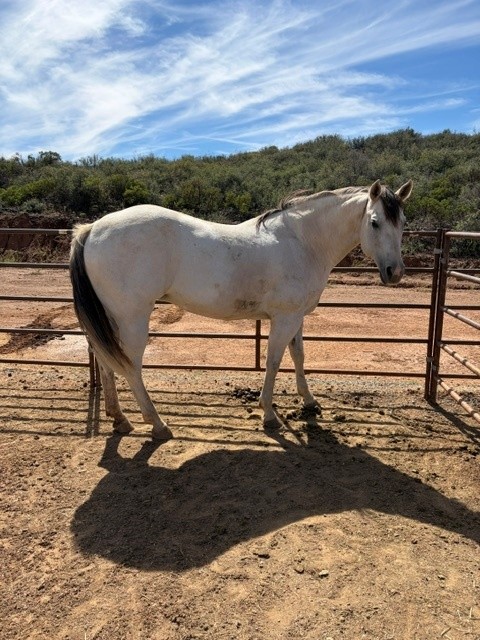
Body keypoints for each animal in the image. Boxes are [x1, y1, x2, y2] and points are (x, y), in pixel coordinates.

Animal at [69, 179, 413, 440]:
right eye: (374, 222)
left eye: (402, 224)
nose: (395, 273)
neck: (302, 242)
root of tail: (92, 229)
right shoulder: (284, 318)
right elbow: (274, 361)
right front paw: (269, 414)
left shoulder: (296, 317)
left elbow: (299, 356)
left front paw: (309, 402)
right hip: (132, 320)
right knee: (130, 367)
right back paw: (157, 424)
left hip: (111, 319)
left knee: (105, 361)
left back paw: (119, 418)